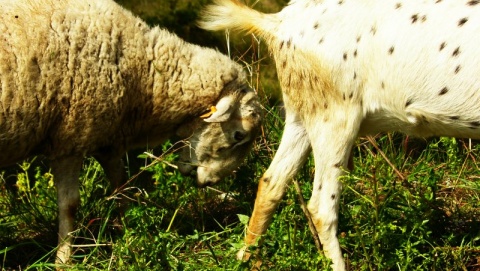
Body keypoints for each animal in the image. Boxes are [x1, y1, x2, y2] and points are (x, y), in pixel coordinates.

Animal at [0, 0, 262, 268]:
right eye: (238, 135)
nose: (209, 182)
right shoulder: (70, 140)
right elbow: (69, 205)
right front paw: (64, 260)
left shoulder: (107, 140)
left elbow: (121, 185)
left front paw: (129, 231)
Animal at [199, 0, 480, 270]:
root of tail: (279, 23)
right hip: (335, 115)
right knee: (321, 207)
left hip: (301, 113)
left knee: (271, 182)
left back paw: (244, 258)